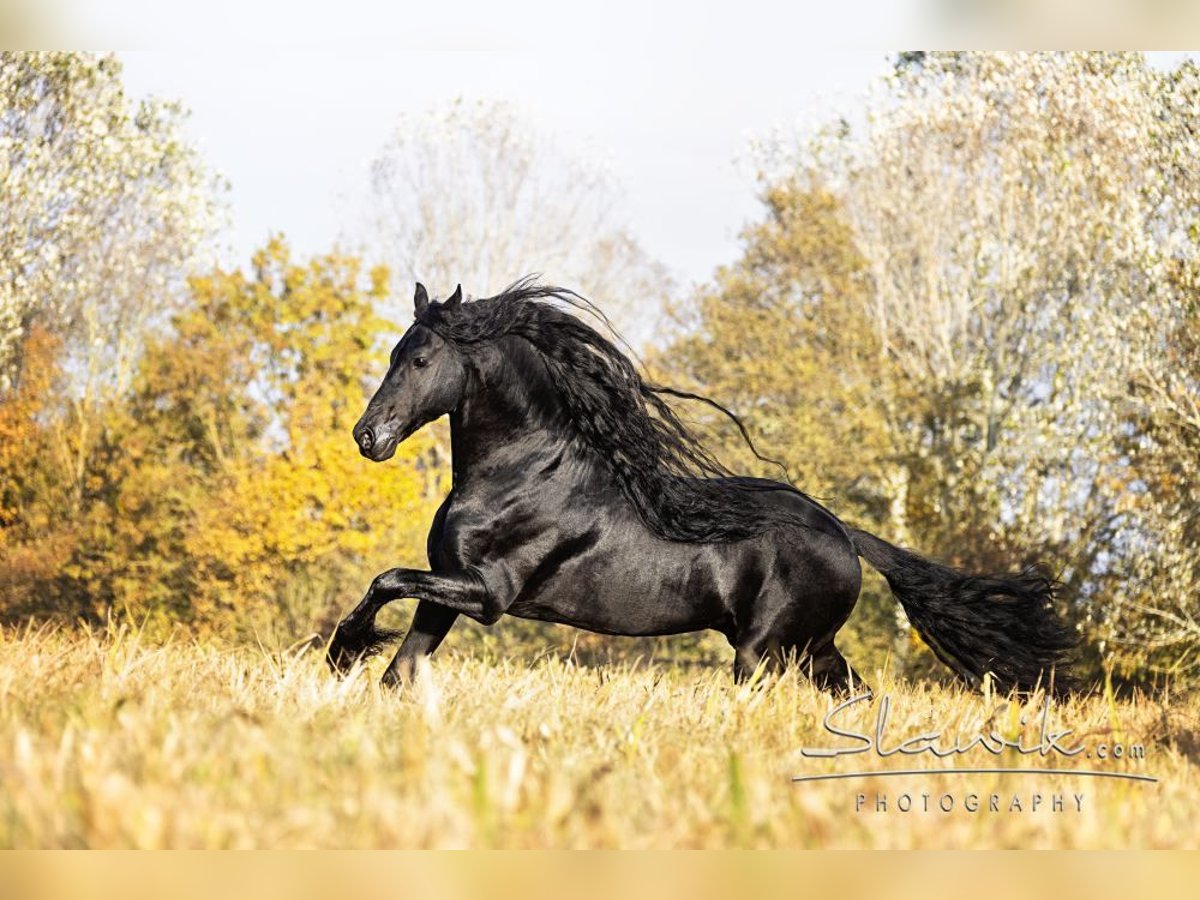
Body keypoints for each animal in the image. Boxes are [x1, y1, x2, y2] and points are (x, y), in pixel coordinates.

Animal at [324, 282, 1075, 696]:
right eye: (393, 353)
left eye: (422, 359)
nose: (368, 436)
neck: (522, 474)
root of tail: (843, 533)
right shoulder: (448, 589)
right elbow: (400, 666)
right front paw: (352, 665)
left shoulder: (489, 595)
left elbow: (388, 579)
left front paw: (340, 651)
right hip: (814, 649)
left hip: (764, 649)